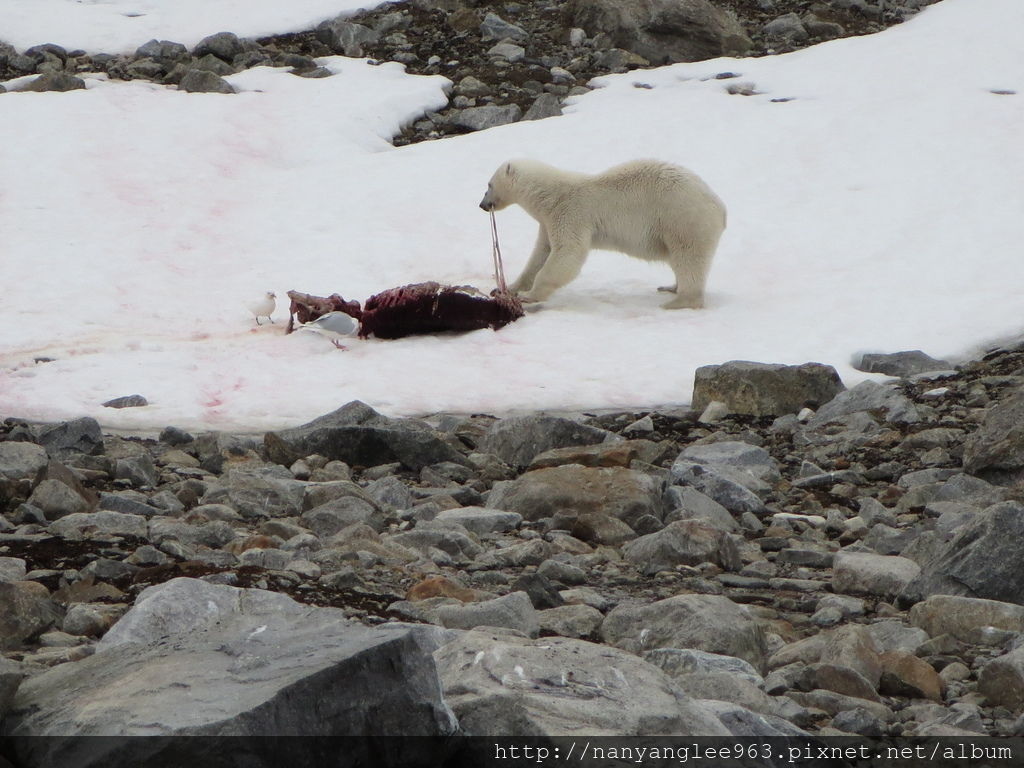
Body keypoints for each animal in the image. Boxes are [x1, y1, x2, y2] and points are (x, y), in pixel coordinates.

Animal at [479, 159, 729, 309]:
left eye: (489, 184)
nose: (482, 205)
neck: (549, 196)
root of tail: (720, 206)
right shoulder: (548, 222)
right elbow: (541, 253)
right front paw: (509, 287)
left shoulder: (571, 214)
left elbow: (568, 253)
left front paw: (530, 296)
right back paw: (671, 287)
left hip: (683, 219)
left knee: (688, 257)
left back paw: (679, 301)